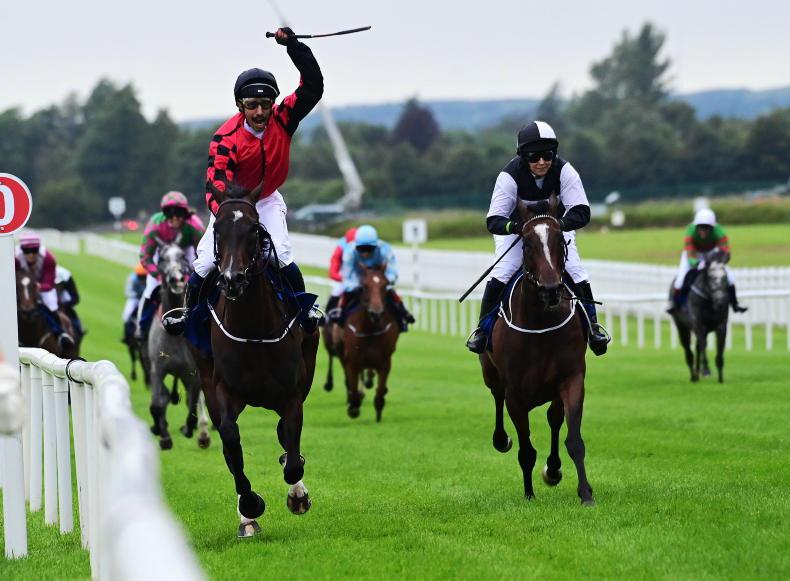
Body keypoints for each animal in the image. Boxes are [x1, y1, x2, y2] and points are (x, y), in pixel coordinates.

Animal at [147, 242, 211, 450]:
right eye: (162, 258)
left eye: (182, 256)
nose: (176, 278)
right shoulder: (157, 368)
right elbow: (156, 405)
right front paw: (164, 437)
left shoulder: (194, 372)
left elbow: (193, 405)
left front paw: (189, 429)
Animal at [192, 183, 319, 538]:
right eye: (218, 230)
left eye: (254, 230)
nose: (232, 279)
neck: (252, 328)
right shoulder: (224, 391)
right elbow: (231, 441)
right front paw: (250, 506)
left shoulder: (291, 394)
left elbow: (292, 456)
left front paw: (297, 495)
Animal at [334, 266, 400, 421]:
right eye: (364, 286)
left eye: (385, 285)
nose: (376, 313)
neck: (370, 329)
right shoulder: (352, 361)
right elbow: (352, 386)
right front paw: (353, 408)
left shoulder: (385, 361)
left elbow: (380, 390)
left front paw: (379, 408)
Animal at [480, 195, 594, 505]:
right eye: (527, 242)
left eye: (560, 239)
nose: (551, 289)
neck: (541, 322)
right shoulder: (515, 393)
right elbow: (526, 450)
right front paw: (529, 494)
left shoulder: (571, 378)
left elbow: (574, 440)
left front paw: (585, 493)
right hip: (491, 374)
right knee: (496, 397)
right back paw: (500, 439)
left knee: (554, 419)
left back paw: (553, 469)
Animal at [669, 248, 730, 383]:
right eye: (711, 277)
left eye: (725, 277)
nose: (721, 300)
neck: (709, 300)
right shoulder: (699, 325)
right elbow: (703, 345)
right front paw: (706, 369)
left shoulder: (721, 325)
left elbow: (720, 348)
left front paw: (721, 378)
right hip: (682, 327)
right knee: (688, 350)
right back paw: (693, 375)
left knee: (696, 348)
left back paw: (697, 373)